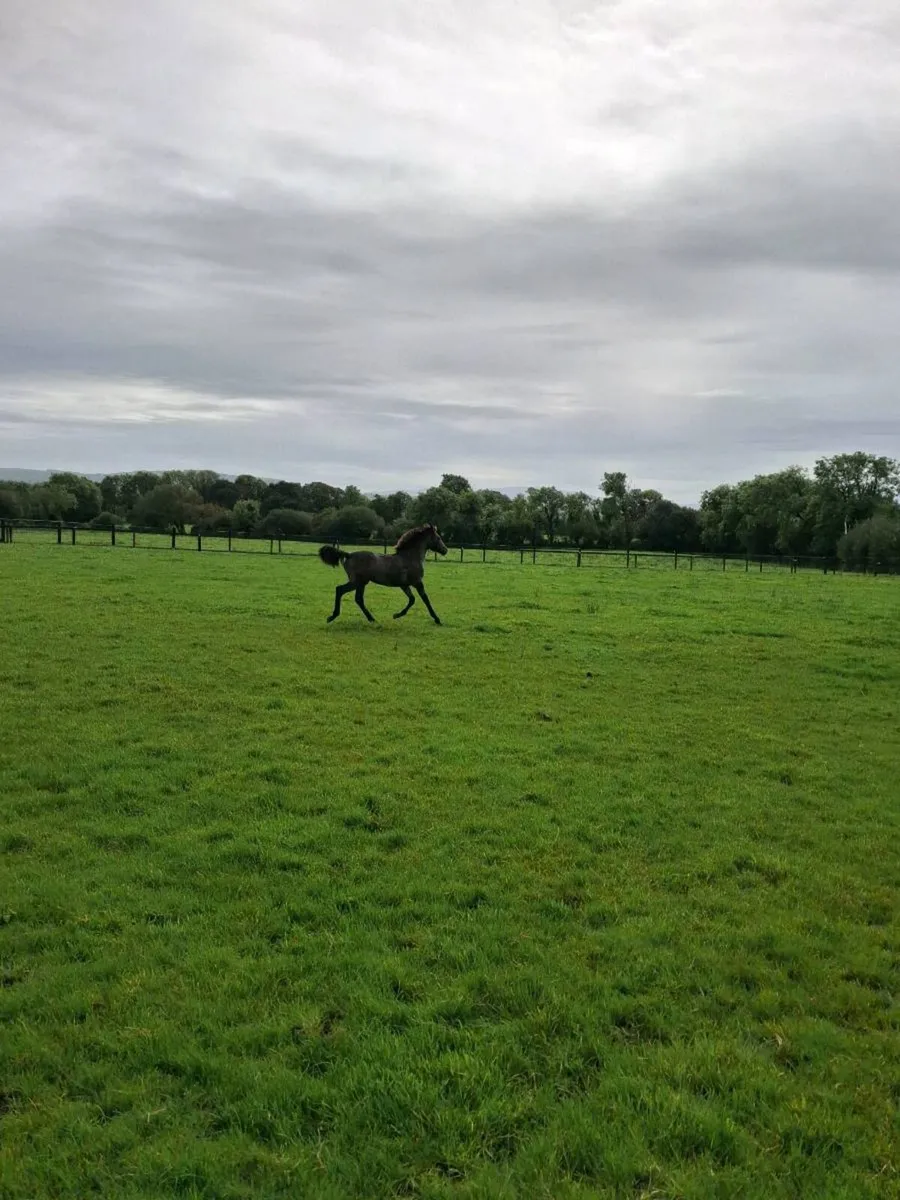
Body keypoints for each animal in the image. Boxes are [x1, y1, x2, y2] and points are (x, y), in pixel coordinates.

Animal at [318, 523, 448, 624]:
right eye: (438, 538)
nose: (445, 550)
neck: (410, 557)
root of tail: (349, 555)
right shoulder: (417, 582)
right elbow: (425, 599)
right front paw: (437, 619)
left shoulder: (404, 585)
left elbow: (412, 599)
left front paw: (396, 615)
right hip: (357, 582)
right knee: (340, 590)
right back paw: (333, 616)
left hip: (361, 583)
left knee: (358, 599)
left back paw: (371, 619)